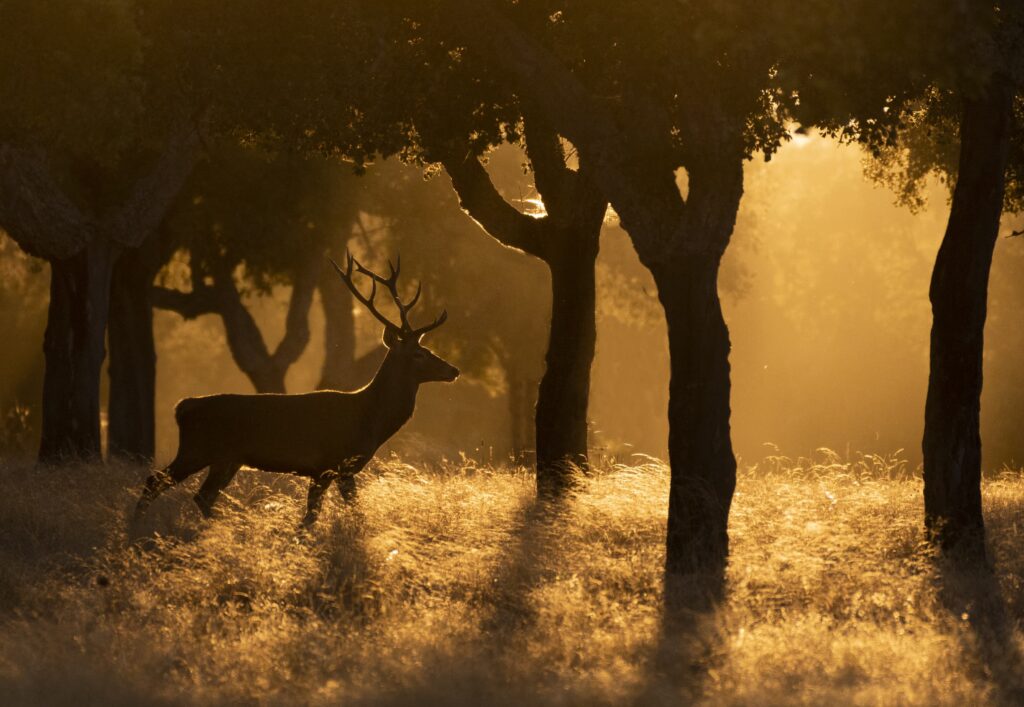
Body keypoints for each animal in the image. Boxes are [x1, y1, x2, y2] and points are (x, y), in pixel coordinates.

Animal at [133, 252, 459, 526]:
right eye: (418, 353)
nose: (453, 370)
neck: (369, 419)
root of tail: (182, 406)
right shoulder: (330, 463)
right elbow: (316, 515)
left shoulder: (340, 469)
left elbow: (343, 512)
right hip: (197, 448)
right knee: (154, 482)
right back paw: (137, 528)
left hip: (226, 458)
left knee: (201, 495)